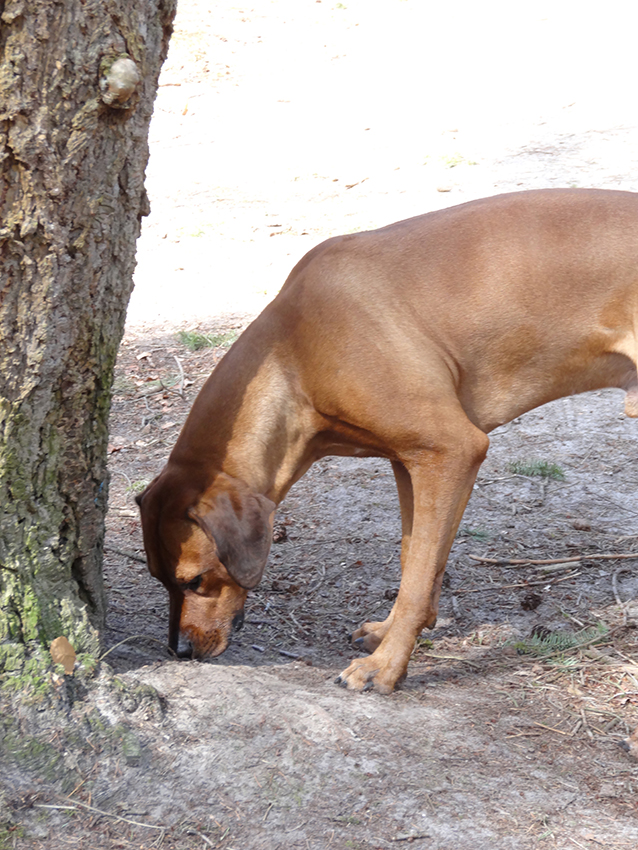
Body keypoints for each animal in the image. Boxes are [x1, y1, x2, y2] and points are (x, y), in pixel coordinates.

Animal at [136, 189, 638, 692]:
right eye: (159, 579)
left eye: (195, 580)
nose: (178, 651)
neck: (294, 354)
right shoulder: (411, 461)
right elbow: (415, 557)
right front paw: (391, 631)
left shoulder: (452, 451)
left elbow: (416, 579)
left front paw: (386, 666)